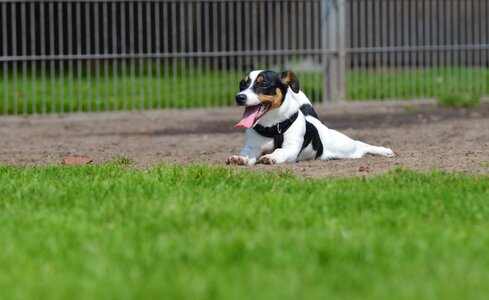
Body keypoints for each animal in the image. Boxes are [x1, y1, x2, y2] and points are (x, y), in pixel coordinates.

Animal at [227, 69, 394, 166]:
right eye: (242, 84)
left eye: (264, 84)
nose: (239, 97)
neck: (273, 127)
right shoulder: (252, 147)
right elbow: (247, 154)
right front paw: (240, 159)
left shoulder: (291, 148)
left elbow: (280, 152)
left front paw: (271, 157)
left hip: (345, 147)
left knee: (360, 145)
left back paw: (384, 150)